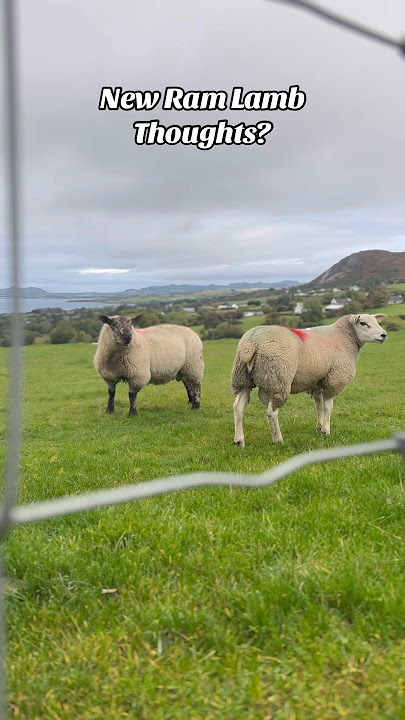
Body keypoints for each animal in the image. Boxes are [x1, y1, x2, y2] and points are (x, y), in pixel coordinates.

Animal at [231, 313, 387, 446]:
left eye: (377, 322)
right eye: (363, 323)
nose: (383, 335)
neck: (344, 338)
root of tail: (251, 344)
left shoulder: (317, 381)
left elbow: (318, 404)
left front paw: (319, 427)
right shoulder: (334, 380)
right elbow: (328, 406)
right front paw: (326, 430)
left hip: (242, 379)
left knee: (238, 407)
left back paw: (239, 440)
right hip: (278, 379)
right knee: (272, 412)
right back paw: (278, 440)